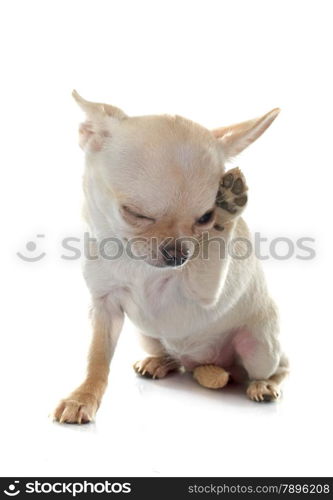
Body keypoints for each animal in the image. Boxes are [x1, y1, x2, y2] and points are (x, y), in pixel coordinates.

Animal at [53, 91, 286, 422]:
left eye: (205, 218)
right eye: (136, 214)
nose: (178, 255)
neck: (135, 263)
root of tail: (203, 363)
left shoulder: (204, 291)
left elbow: (214, 250)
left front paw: (228, 209)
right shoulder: (104, 306)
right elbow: (96, 358)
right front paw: (83, 396)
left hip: (259, 346)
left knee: (278, 367)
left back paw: (264, 384)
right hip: (147, 335)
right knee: (174, 356)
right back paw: (160, 362)